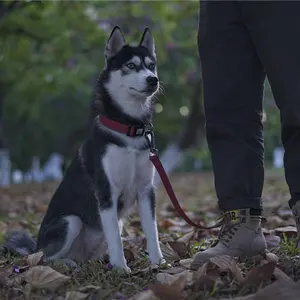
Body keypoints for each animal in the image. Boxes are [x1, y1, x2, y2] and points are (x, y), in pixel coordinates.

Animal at [4, 27, 164, 274]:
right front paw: (121, 267)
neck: (128, 128)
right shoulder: (106, 190)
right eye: (130, 65)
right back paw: (65, 263)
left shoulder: (146, 189)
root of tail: (36, 245)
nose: (152, 79)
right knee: (43, 258)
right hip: (70, 221)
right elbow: (115, 238)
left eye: (151, 65)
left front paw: (159, 263)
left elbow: (153, 232)